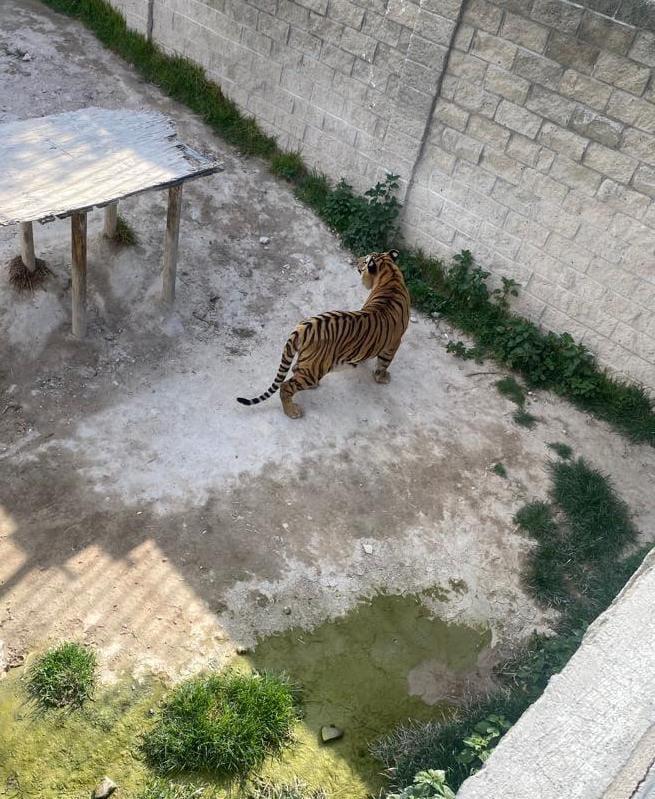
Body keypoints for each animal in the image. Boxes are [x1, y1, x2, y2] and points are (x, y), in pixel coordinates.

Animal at [236, 249, 411, 418]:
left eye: (365, 260)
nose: (357, 260)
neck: (391, 275)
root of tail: (303, 327)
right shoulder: (394, 343)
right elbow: (384, 363)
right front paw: (382, 378)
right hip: (314, 370)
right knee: (286, 386)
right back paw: (292, 411)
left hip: (309, 362)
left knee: (295, 370)